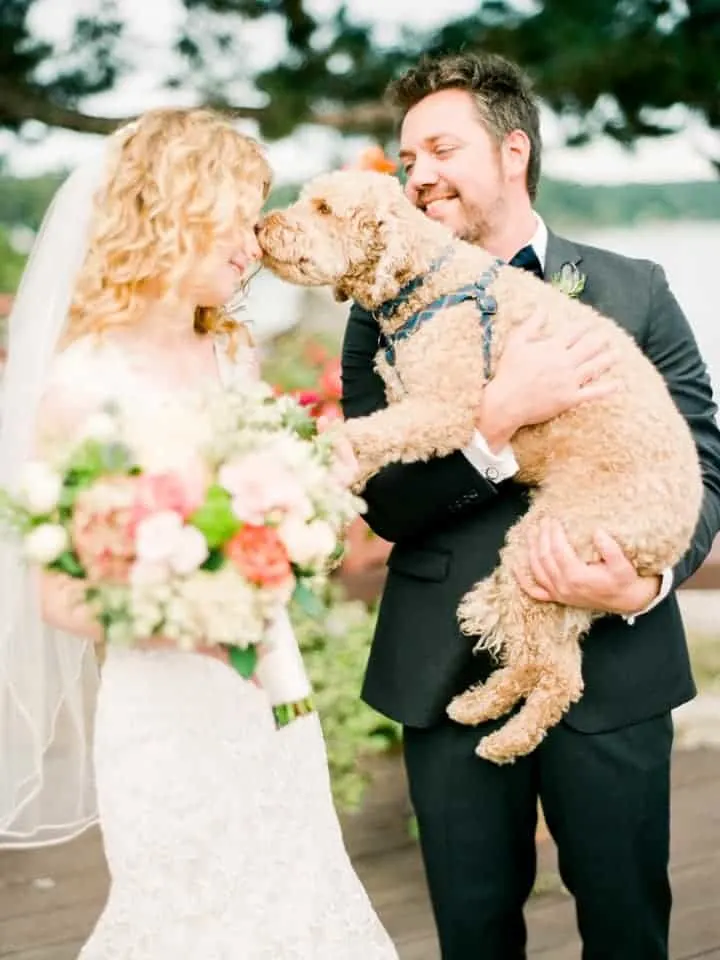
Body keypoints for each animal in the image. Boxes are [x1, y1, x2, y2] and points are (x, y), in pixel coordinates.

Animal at [255, 171, 704, 764]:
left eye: (325, 208)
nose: (259, 227)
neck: (427, 280)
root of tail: (669, 543)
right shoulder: (405, 405)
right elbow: (369, 454)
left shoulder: (441, 409)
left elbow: (357, 435)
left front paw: (319, 462)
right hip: (555, 583)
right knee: (553, 666)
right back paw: (479, 706)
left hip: (549, 546)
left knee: (552, 672)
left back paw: (502, 737)